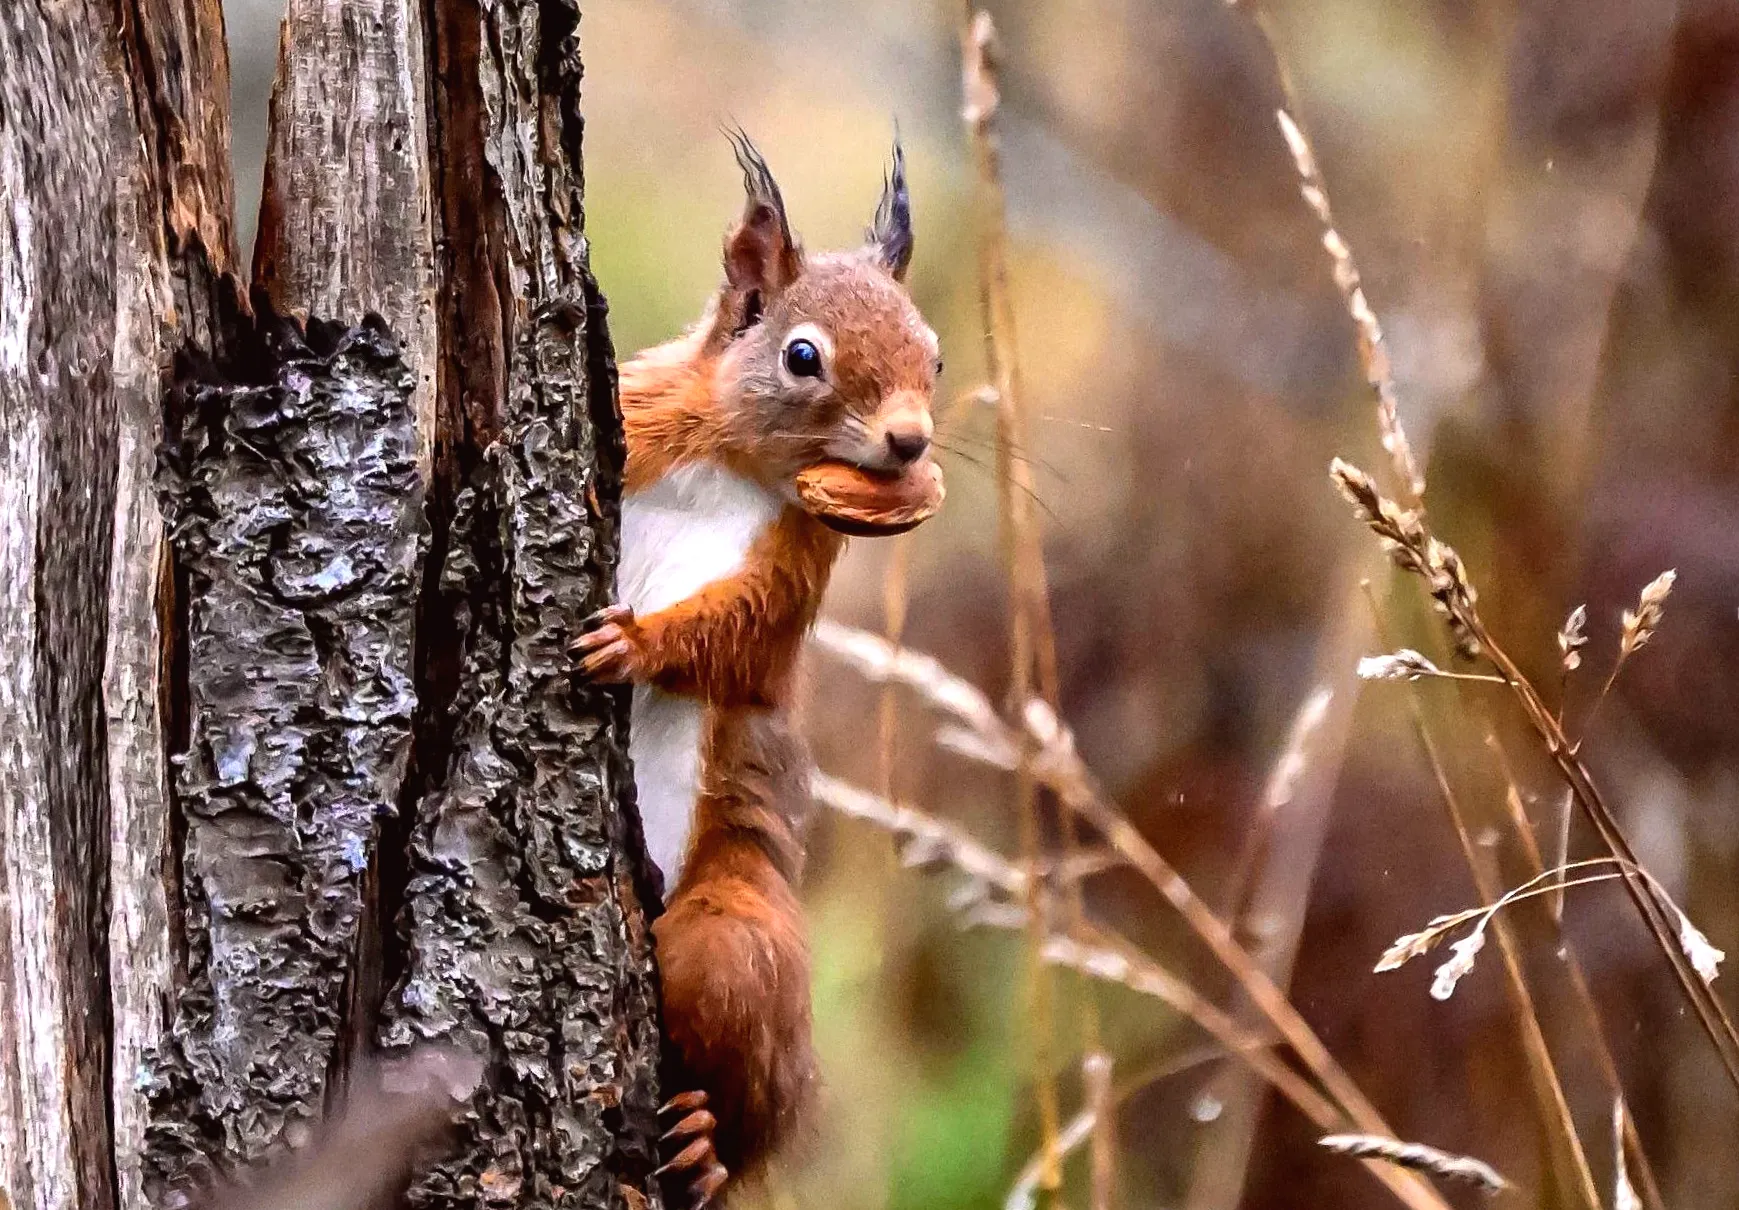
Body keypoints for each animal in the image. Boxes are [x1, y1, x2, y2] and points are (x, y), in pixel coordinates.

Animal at [571, 132, 942, 1207]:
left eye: (936, 356)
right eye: (801, 355)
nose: (909, 439)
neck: (735, 463)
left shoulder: (790, 573)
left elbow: (731, 639)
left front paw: (635, 645)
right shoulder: (637, 414)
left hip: (729, 939)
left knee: (740, 1086)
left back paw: (705, 1146)